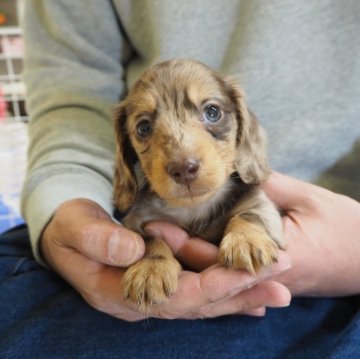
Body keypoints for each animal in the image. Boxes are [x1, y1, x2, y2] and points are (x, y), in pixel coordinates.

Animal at [114, 59, 286, 312]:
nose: (184, 168)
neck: (193, 208)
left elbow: (248, 214)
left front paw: (245, 240)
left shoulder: (260, 203)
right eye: (143, 127)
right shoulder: (135, 221)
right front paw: (150, 268)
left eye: (212, 112)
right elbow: (149, 240)